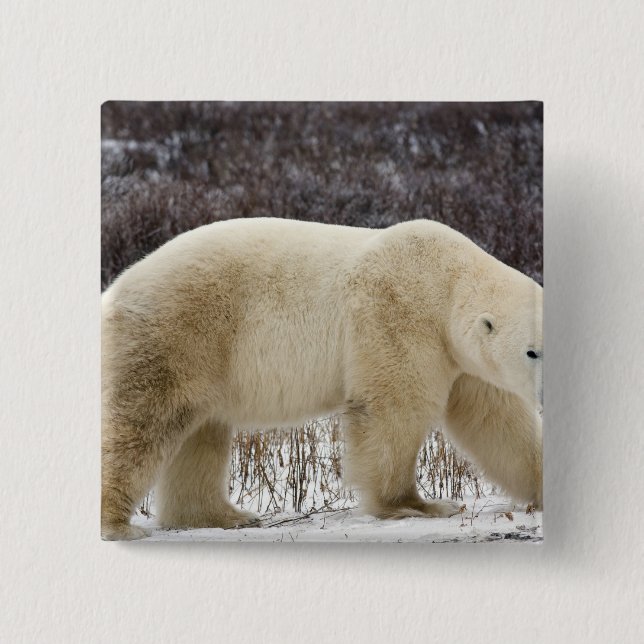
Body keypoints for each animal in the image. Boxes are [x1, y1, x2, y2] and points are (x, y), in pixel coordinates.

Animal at [101, 217, 543, 540]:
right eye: (532, 351)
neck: (443, 277)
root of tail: (115, 290)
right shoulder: (396, 313)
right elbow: (394, 409)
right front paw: (418, 505)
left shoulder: (465, 361)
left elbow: (498, 423)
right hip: (177, 333)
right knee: (141, 423)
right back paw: (119, 525)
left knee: (201, 435)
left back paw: (224, 516)